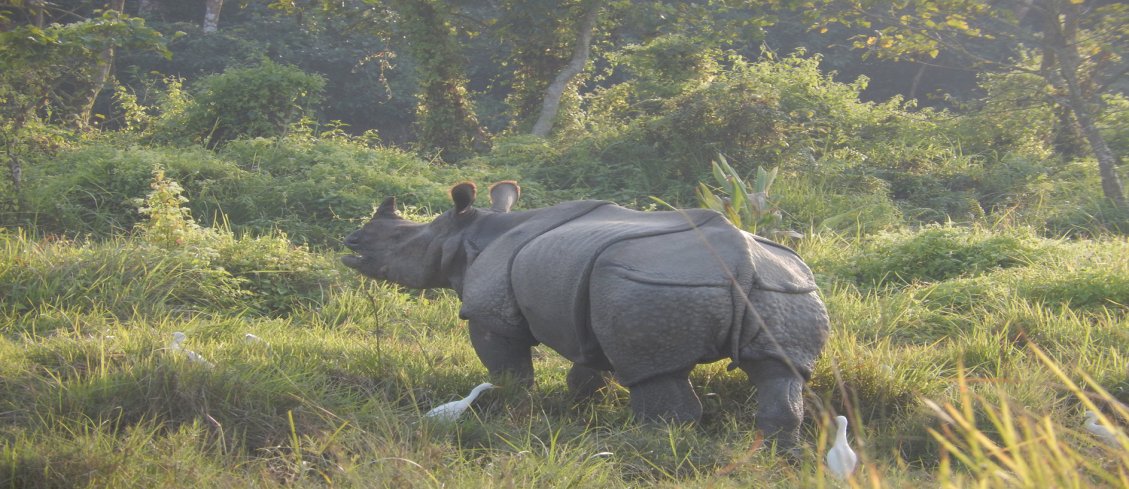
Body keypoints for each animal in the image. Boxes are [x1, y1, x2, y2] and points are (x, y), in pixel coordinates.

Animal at [342, 181, 829, 451]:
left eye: (402, 240)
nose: (351, 241)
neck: (469, 237)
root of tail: (741, 260)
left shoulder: (489, 313)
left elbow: (507, 367)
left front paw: (512, 404)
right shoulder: (590, 309)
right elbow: (589, 366)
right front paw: (576, 405)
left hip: (652, 287)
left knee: (656, 372)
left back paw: (653, 444)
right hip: (787, 291)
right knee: (780, 371)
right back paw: (777, 454)